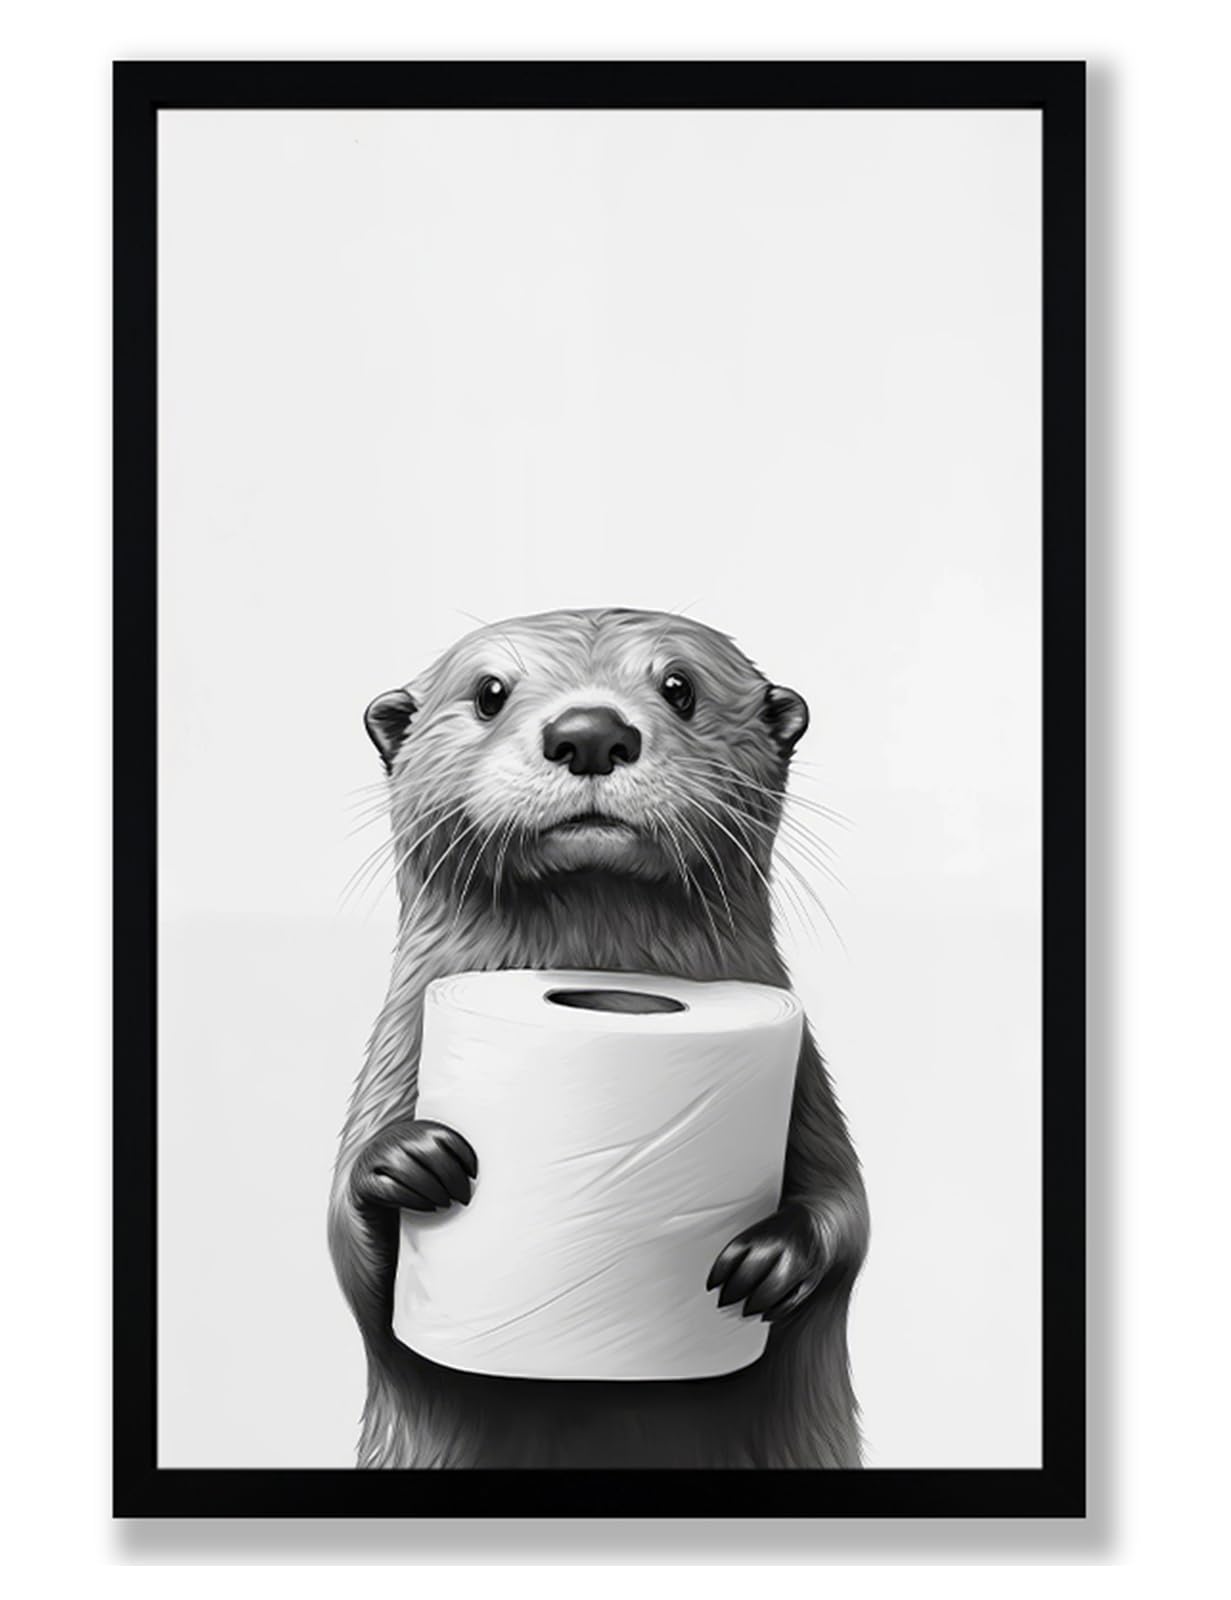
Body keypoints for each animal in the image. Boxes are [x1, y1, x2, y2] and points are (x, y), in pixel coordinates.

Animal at [328, 607, 868, 1468]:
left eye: (680, 686)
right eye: (489, 692)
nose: (589, 732)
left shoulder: (807, 1084)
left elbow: (849, 1215)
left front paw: (773, 1258)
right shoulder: (392, 1058)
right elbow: (351, 1258)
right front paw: (405, 1161)